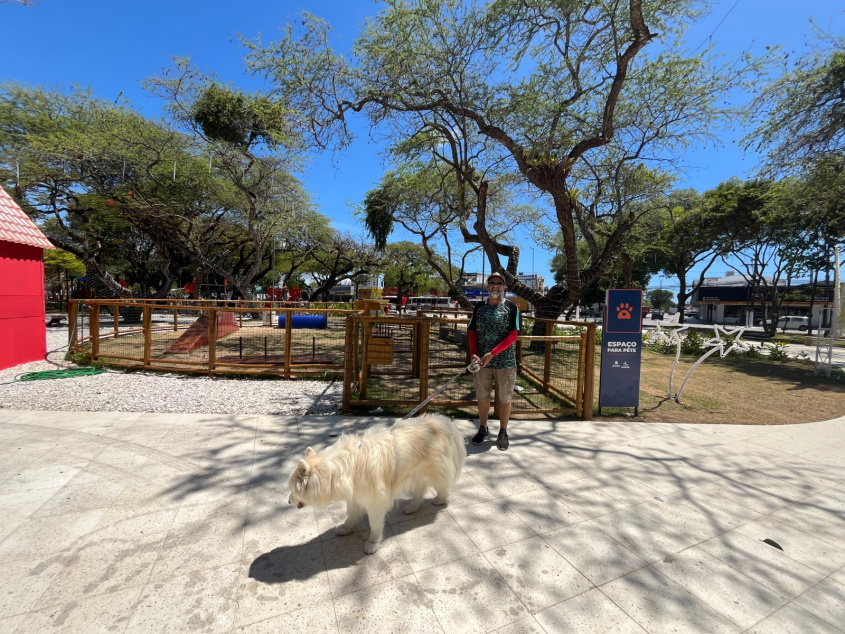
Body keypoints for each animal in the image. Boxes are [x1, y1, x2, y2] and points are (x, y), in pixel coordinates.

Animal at [286, 412, 464, 552]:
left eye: (293, 490)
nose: (288, 501)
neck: (346, 468)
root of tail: (441, 422)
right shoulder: (355, 497)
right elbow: (351, 516)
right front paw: (346, 528)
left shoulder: (375, 503)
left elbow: (375, 525)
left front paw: (372, 544)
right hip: (415, 474)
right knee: (420, 490)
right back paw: (412, 507)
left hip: (432, 473)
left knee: (442, 486)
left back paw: (440, 500)